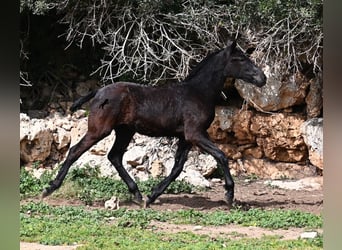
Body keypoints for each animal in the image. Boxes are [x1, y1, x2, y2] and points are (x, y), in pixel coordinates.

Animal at [42, 41, 268, 208]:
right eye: (239, 59)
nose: (262, 78)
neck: (198, 93)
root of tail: (98, 92)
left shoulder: (185, 137)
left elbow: (177, 168)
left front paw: (152, 196)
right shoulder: (195, 133)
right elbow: (221, 156)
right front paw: (230, 194)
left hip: (125, 131)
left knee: (114, 156)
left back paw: (137, 195)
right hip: (99, 130)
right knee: (75, 151)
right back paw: (49, 188)